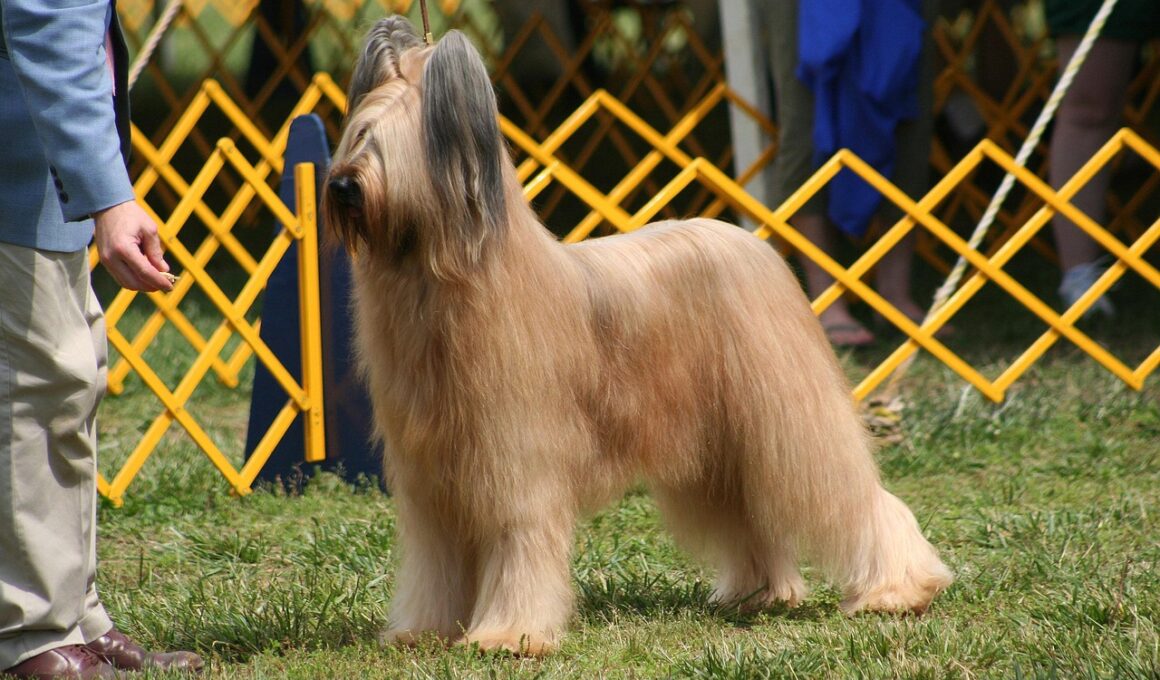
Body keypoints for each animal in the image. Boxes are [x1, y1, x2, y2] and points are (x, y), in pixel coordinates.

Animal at [323, 16, 953, 656]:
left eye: (393, 146)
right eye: (360, 135)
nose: (343, 185)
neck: (438, 284)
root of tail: (749, 240)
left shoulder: (518, 468)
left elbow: (519, 543)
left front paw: (509, 634)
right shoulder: (432, 482)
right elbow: (437, 561)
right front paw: (424, 630)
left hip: (792, 422)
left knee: (851, 494)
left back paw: (899, 590)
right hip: (719, 445)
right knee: (746, 514)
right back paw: (761, 593)